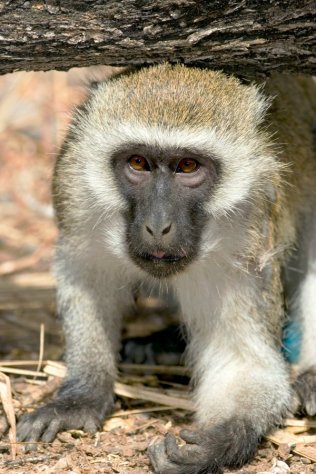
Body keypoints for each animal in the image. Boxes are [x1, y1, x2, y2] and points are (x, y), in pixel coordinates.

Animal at [17, 64, 316, 474]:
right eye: (138, 163)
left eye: (187, 166)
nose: (158, 225)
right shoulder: (76, 190)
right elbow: (87, 276)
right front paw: (82, 395)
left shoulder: (251, 234)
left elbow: (246, 362)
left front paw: (215, 442)